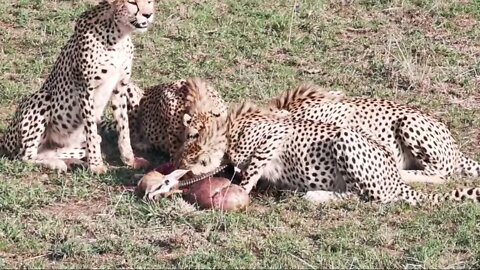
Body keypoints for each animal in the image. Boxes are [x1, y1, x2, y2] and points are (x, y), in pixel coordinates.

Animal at [0, 0, 154, 173]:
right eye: (132, 2)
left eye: (149, 1)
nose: (148, 15)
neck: (118, 33)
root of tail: (5, 139)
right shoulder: (85, 89)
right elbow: (91, 130)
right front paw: (96, 165)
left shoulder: (120, 87)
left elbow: (123, 127)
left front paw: (129, 159)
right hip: (42, 97)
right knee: (24, 156)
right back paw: (58, 163)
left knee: (54, 151)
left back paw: (70, 161)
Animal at [174, 100, 480, 205]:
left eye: (193, 137)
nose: (181, 164)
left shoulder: (276, 135)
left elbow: (250, 171)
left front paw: (237, 190)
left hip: (351, 137)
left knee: (368, 196)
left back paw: (315, 195)